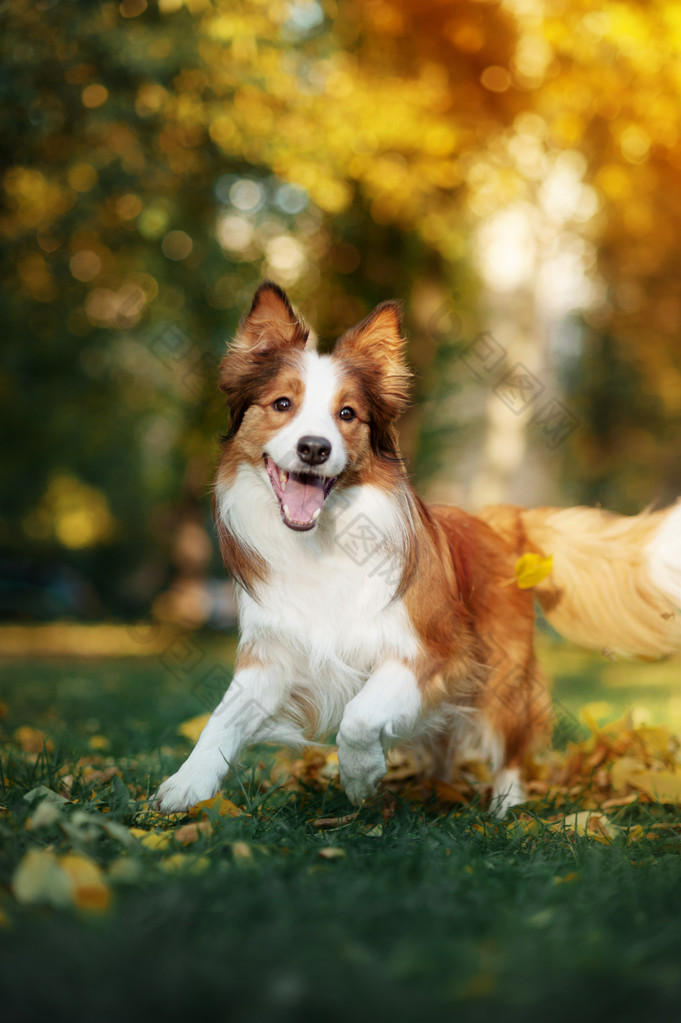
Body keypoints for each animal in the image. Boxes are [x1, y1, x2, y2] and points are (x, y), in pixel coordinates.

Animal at [153, 282, 678, 814]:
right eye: (282, 404)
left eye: (347, 414)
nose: (315, 448)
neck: (323, 540)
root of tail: (495, 519)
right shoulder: (274, 653)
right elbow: (224, 715)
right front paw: (188, 783)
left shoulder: (435, 651)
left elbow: (359, 716)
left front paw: (360, 776)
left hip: (502, 672)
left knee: (508, 744)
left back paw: (506, 806)